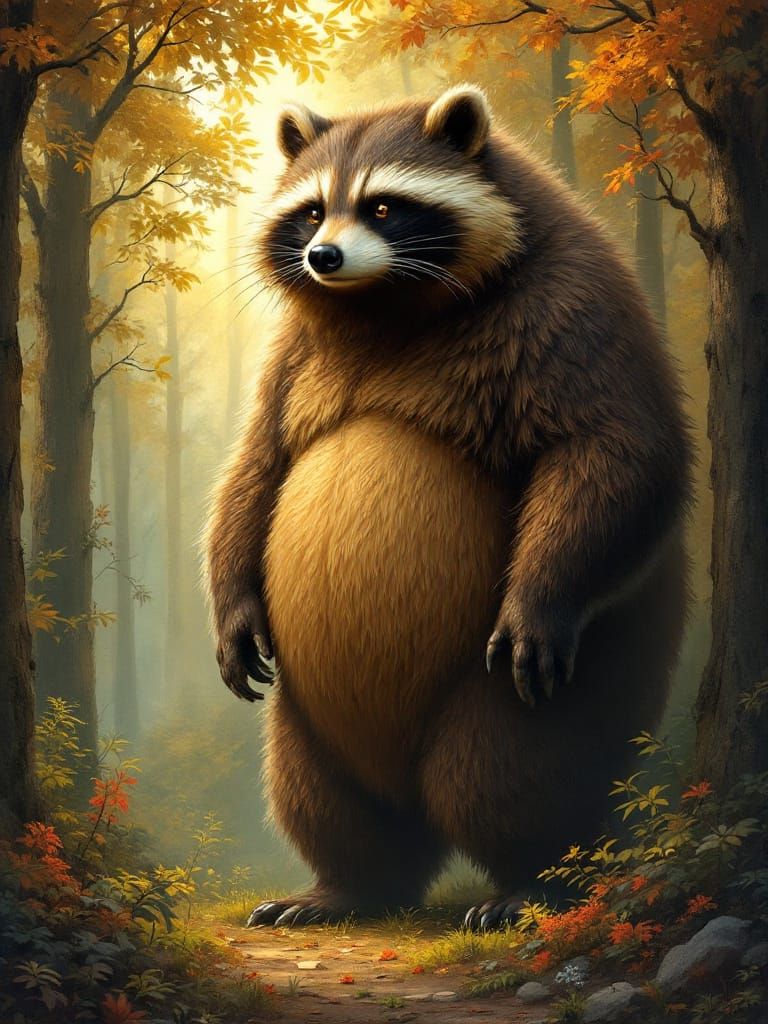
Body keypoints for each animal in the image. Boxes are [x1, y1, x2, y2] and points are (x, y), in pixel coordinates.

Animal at [205, 85, 691, 930]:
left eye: (383, 206)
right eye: (311, 211)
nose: (323, 258)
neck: (382, 302)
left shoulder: (573, 300)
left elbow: (616, 453)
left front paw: (542, 595)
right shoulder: (292, 354)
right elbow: (255, 470)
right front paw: (232, 608)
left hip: (542, 688)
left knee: (509, 771)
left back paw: (535, 878)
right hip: (309, 715)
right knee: (320, 794)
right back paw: (348, 885)